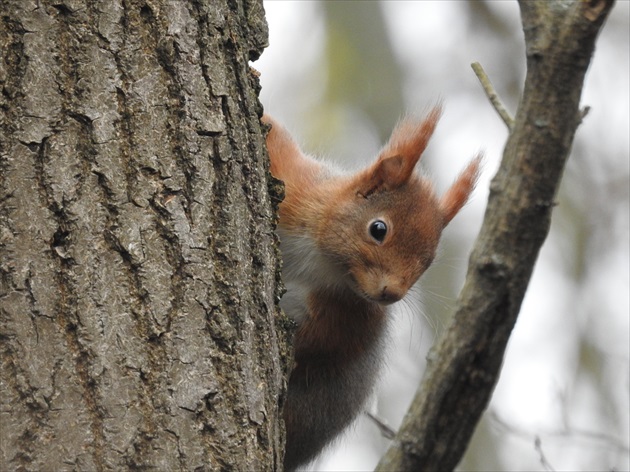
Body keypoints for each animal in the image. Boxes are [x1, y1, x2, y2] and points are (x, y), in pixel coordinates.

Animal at [264, 107, 482, 472]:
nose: (391, 293)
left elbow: (321, 346)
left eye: (428, 262)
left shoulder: (351, 317)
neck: (324, 261)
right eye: (378, 229)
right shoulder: (296, 187)